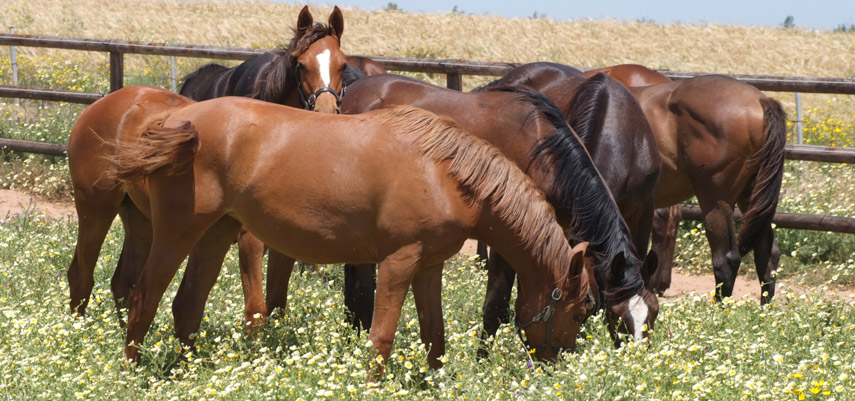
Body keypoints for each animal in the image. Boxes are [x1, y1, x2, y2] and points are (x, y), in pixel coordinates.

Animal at [100, 90, 592, 372]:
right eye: (581, 312)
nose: (558, 366)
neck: (445, 174)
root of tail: (171, 122)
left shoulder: (428, 268)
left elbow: (434, 338)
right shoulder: (398, 263)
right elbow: (381, 339)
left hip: (215, 235)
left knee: (186, 308)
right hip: (176, 234)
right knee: (143, 300)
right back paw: (131, 374)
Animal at [338, 73, 660, 346]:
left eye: (654, 312)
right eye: (617, 316)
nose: (634, 355)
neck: (542, 153)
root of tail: (354, 89)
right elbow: (496, 304)